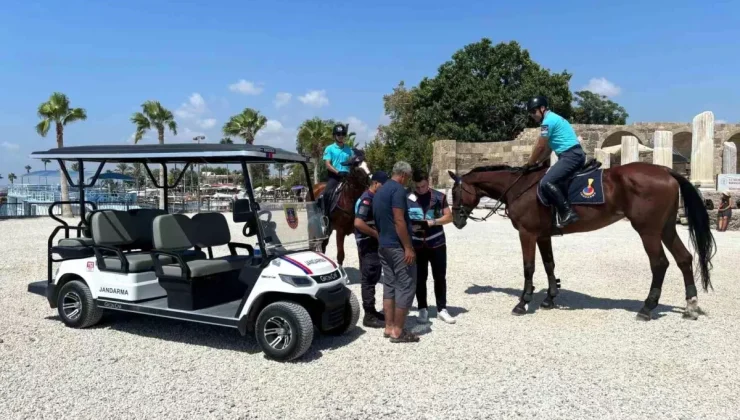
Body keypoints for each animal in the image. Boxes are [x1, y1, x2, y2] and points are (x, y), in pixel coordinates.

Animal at [448, 159, 712, 320]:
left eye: (454, 192)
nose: (456, 220)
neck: (520, 187)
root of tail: (665, 170)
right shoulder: (543, 235)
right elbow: (549, 264)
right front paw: (550, 298)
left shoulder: (527, 234)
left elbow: (529, 267)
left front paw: (523, 302)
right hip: (665, 229)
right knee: (684, 258)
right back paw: (691, 305)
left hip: (648, 231)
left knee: (660, 264)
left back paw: (647, 307)